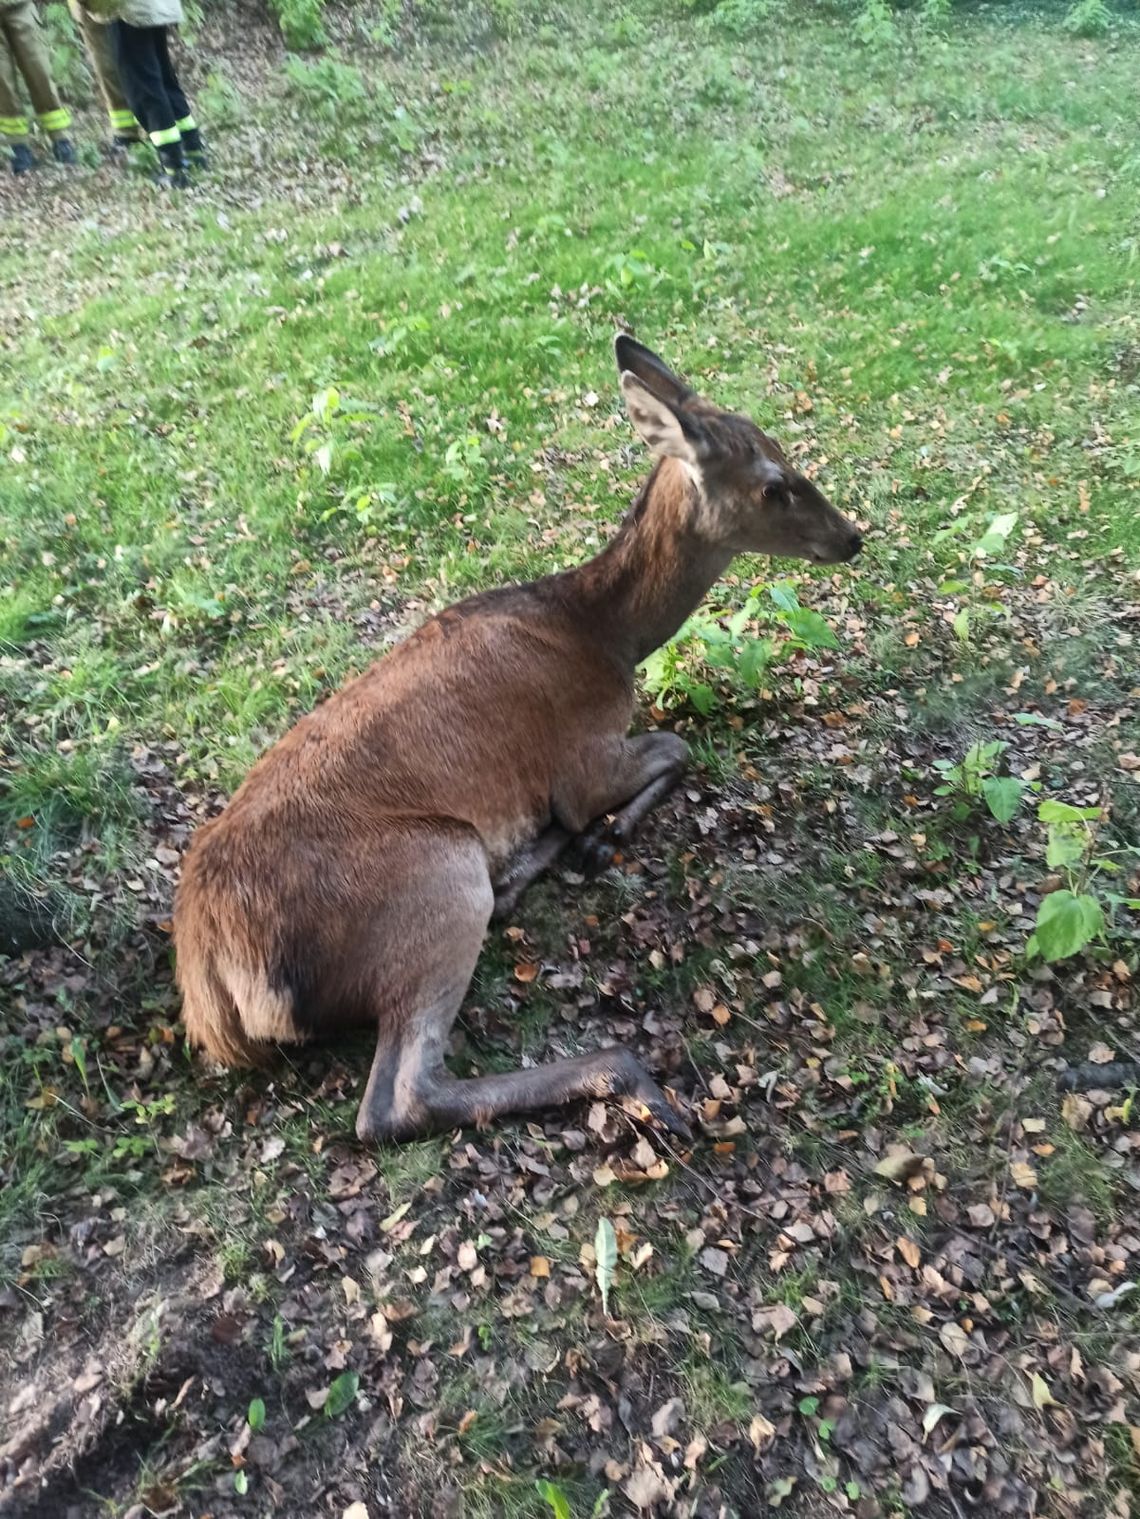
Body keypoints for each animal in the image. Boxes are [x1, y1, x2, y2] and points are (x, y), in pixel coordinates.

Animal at [174, 332, 863, 1142]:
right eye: (773, 484)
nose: (852, 537)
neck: (606, 637)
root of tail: (216, 989)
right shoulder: (584, 753)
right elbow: (676, 747)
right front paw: (604, 833)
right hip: (437, 876)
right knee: (397, 1098)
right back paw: (624, 1070)